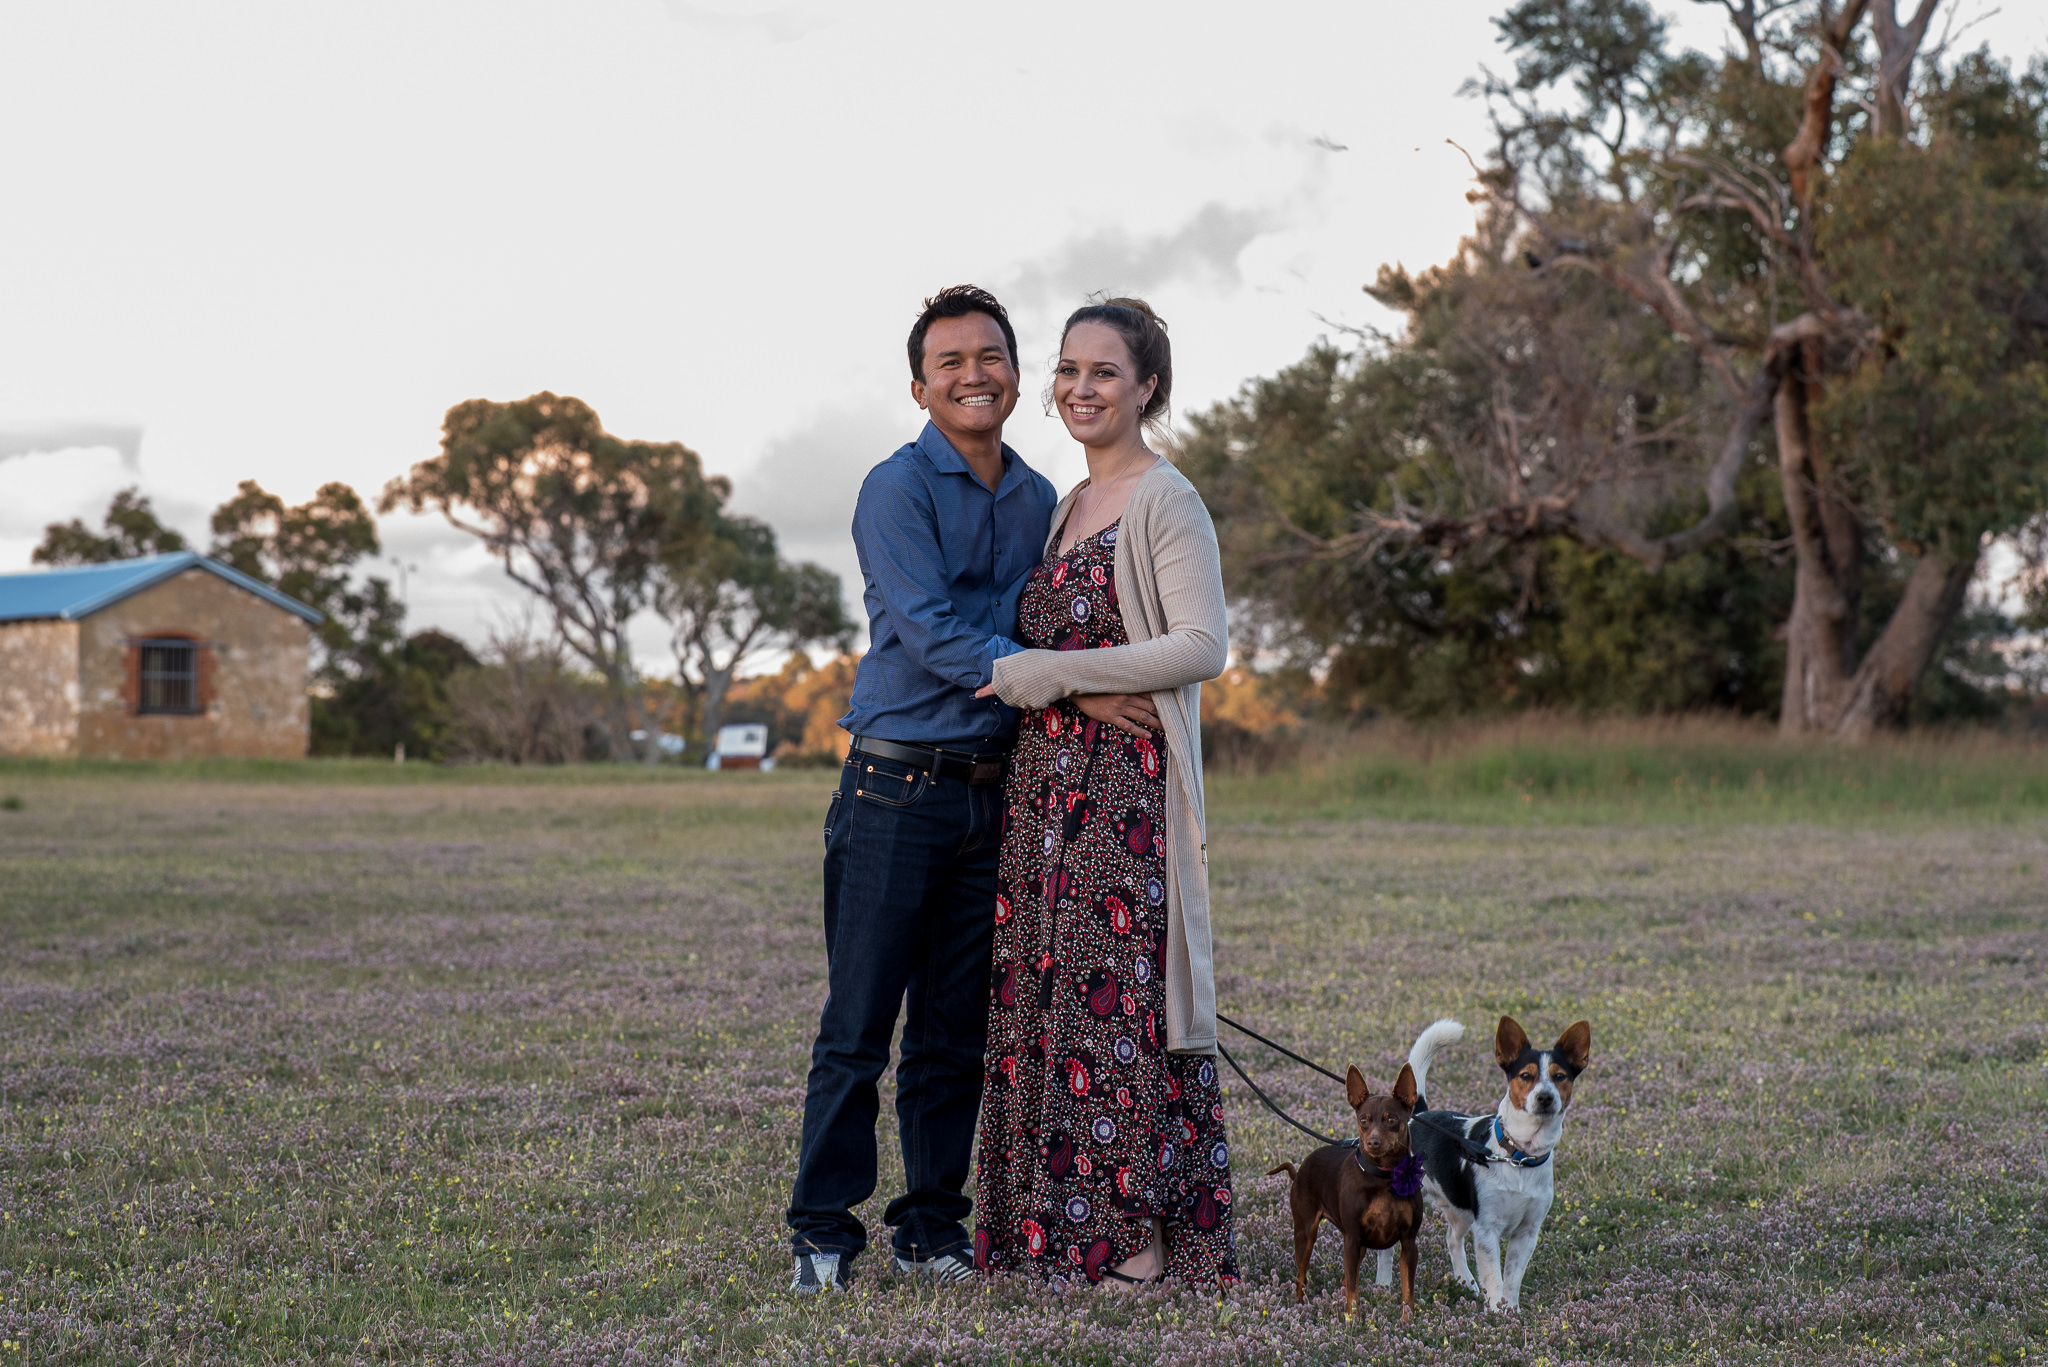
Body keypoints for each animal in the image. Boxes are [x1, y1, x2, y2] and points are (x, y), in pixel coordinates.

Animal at [1261, 1065, 1425, 1319]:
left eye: (1392, 1119)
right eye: (1363, 1120)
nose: (1373, 1142)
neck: (1383, 1176)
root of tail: (1299, 1170)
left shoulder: (1408, 1243)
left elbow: (1408, 1292)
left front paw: (1407, 1322)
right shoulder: (1352, 1238)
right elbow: (1353, 1289)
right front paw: (1354, 1320)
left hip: (1359, 1246)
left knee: (1343, 1278)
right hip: (1306, 1234)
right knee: (1301, 1275)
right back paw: (1300, 1306)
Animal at [1384, 1020, 1589, 1311]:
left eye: (1560, 1076)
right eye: (1525, 1076)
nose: (1545, 1097)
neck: (1518, 1156)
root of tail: (1418, 1114)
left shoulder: (1527, 1232)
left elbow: (1512, 1277)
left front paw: (1511, 1310)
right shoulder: (1486, 1229)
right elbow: (1494, 1276)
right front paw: (1495, 1312)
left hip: (1460, 1208)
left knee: (1452, 1239)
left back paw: (1465, 1281)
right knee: (1387, 1248)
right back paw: (1382, 1285)